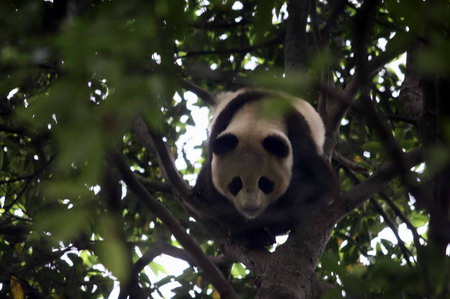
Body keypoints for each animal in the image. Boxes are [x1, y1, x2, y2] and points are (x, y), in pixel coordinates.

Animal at [195, 89, 336, 248]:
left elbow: (319, 187)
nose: (251, 209)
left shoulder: (299, 140)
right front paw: (248, 231)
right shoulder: (219, 132)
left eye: (265, 183)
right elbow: (214, 193)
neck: (255, 118)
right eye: (235, 183)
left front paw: (270, 227)